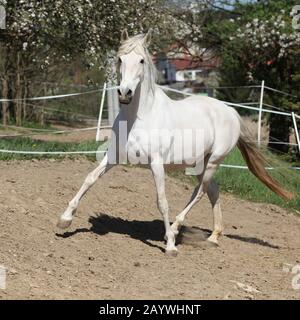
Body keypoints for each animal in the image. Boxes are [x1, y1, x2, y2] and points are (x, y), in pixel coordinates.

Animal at [57, 30, 294, 255]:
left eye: (141, 60)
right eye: (120, 58)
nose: (125, 93)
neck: (140, 117)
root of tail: (231, 111)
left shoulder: (156, 163)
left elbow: (162, 201)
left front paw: (171, 247)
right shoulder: (114, 156)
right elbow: (90, 178)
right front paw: (65, 219)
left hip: (213, 161)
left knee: (200, 192)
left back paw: (174, 230)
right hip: (201, 163)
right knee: (213, 191)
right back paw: (213, 238)